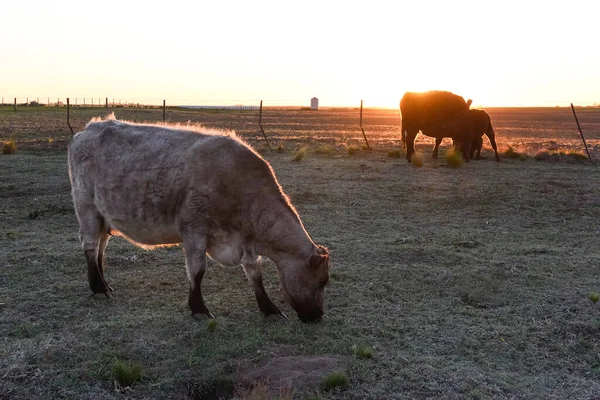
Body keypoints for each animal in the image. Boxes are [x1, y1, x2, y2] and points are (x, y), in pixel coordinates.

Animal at [71, 115, 332, 322]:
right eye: (322, 281)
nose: (317, 316)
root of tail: (90, 128)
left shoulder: (245, 241)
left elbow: (255, 273)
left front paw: (269, 308)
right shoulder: (194, 229)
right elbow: (197, 270)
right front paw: (198, 308)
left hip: (104, 216)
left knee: (101, 248)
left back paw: (103, 282)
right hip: (87, 208)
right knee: (90, 246)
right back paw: (98, 287)